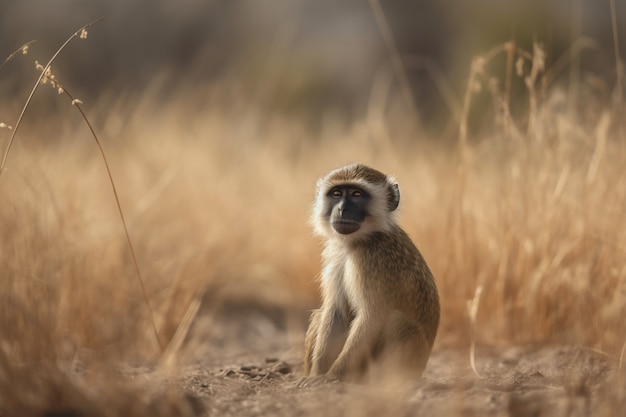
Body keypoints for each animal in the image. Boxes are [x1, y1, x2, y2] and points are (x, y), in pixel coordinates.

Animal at [298, 163, 438, 386]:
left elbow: (371, 317)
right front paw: (317, 375)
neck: (361, 240)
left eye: (357, 194)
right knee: (321, 314)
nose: (342, 209)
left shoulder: (372, 259)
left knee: (400, 322)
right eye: (336, 193)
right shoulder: (335, 254)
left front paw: (331, 376)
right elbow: (335, 311)